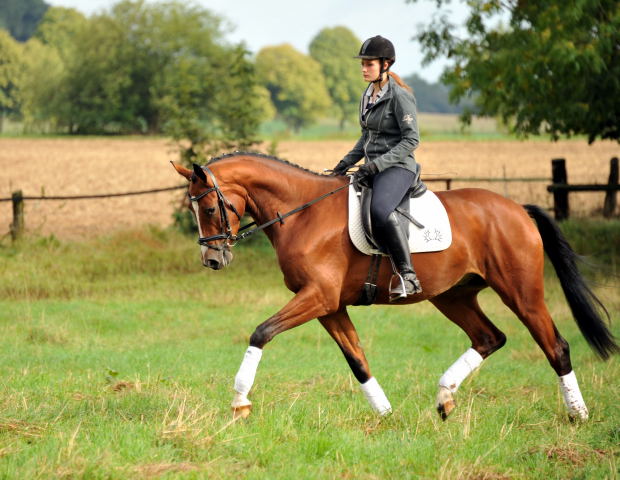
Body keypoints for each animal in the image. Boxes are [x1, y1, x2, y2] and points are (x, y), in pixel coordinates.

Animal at [170, 153, 616, 420]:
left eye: (207, 207)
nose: (213, 260)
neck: (303, 214)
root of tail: (516, 209)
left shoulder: (318, 298)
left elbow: (261, 332)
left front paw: (240, 402)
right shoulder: (329, 306)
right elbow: (357, 360)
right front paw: (385, 413)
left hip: (521, 292)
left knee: (555, 346)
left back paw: (578, 414)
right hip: (453, 296)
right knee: (490, 337)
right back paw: (444, 397)